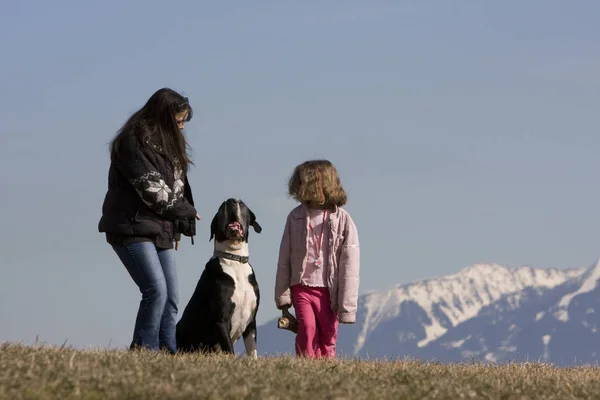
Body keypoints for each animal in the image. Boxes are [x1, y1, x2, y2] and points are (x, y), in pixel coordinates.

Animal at [177, 198, 264, 358]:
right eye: (222, 205)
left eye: (241, 204)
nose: (231, 201)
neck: (234, 259)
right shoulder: (221, 320)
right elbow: (230, 351)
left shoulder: (251, 321)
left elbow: (252, 351)